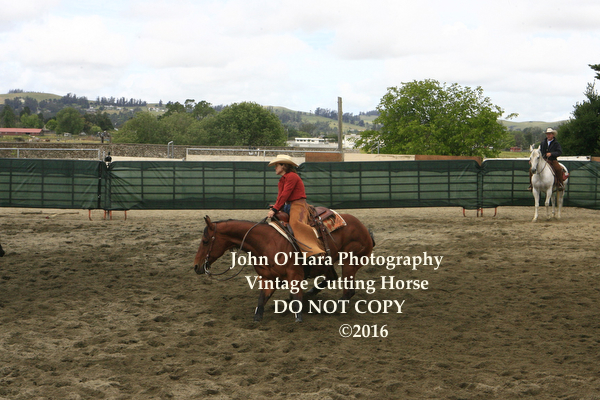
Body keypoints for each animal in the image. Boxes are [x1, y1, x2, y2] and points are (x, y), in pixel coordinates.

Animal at [193, 213, 375, 322]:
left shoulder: (295, 276)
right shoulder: (268, 278)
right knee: (332, 277)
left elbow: (296, 299)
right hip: (327, 263)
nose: (196, 266)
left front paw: (298, 317)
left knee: (348, 291)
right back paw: (311, 293)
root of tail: (364, 228)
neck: (266, 242)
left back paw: (332, 307)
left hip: (350, 262)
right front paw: (257, 318)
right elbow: (261, 300)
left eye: (205, 241)